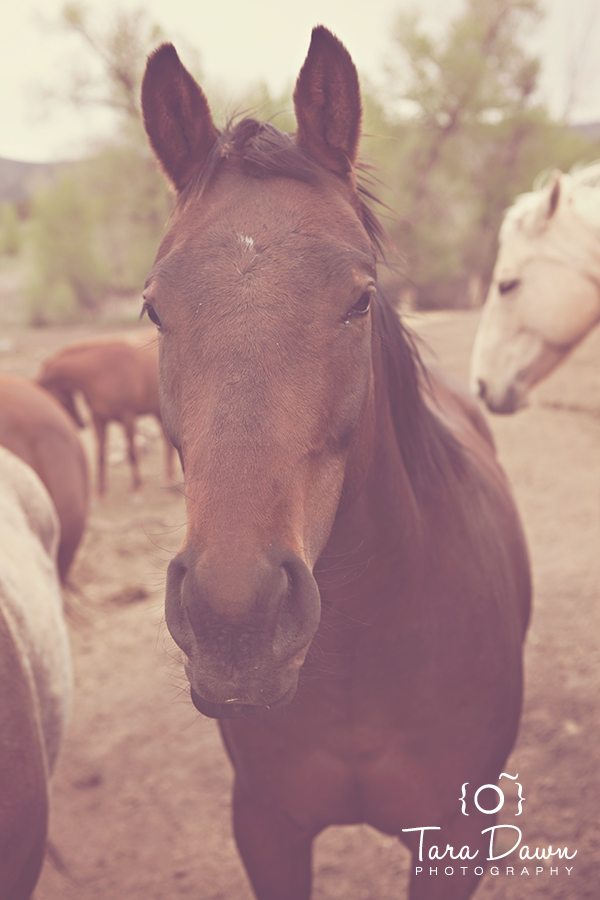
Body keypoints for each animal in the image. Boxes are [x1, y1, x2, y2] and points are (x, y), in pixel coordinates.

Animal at [36, 336, 175, 496]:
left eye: (58, 398)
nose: (80, 423)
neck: (102, 373)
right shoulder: (98, 420)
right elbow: (100, 456)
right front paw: (100, 491)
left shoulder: (127, 418)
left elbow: (132, 453)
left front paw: (137, 486)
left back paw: (168, 480)